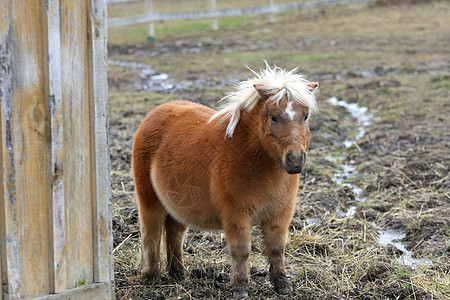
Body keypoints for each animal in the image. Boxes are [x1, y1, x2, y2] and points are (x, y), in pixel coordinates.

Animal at [132, 63, 318, 298]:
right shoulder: (236, 215)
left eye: (306, 116)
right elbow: (241, 250)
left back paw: (178, 274)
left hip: (176, 205)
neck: (251, 156)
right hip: (150, 200)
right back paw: (152, 277)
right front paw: (240, 287)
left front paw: (282, 284)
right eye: (273, 116)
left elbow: (276, 248)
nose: (295, 159)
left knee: (174, 234)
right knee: (151, 233)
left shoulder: (279, 215)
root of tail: (155, 113)